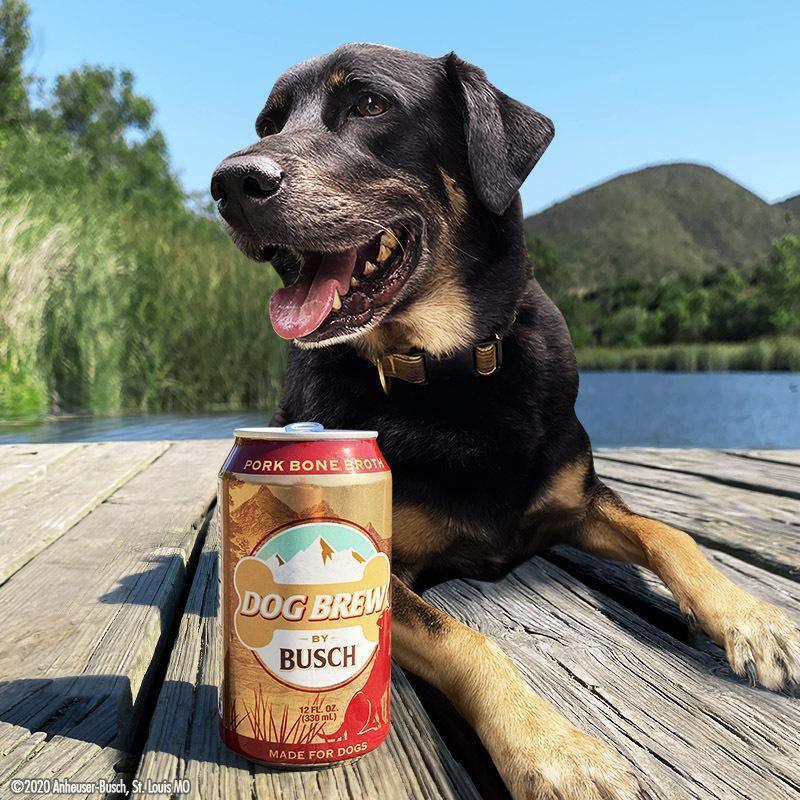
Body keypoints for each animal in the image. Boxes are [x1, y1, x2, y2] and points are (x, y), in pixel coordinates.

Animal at [212, 43, 800, 800]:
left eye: (370, 104)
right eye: (270, 123)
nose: (229, 182)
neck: (453, 371)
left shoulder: (577, 502)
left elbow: (670, 534)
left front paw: (756, 621)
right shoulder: (390, 566)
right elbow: (463, 637)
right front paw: (555, 750)